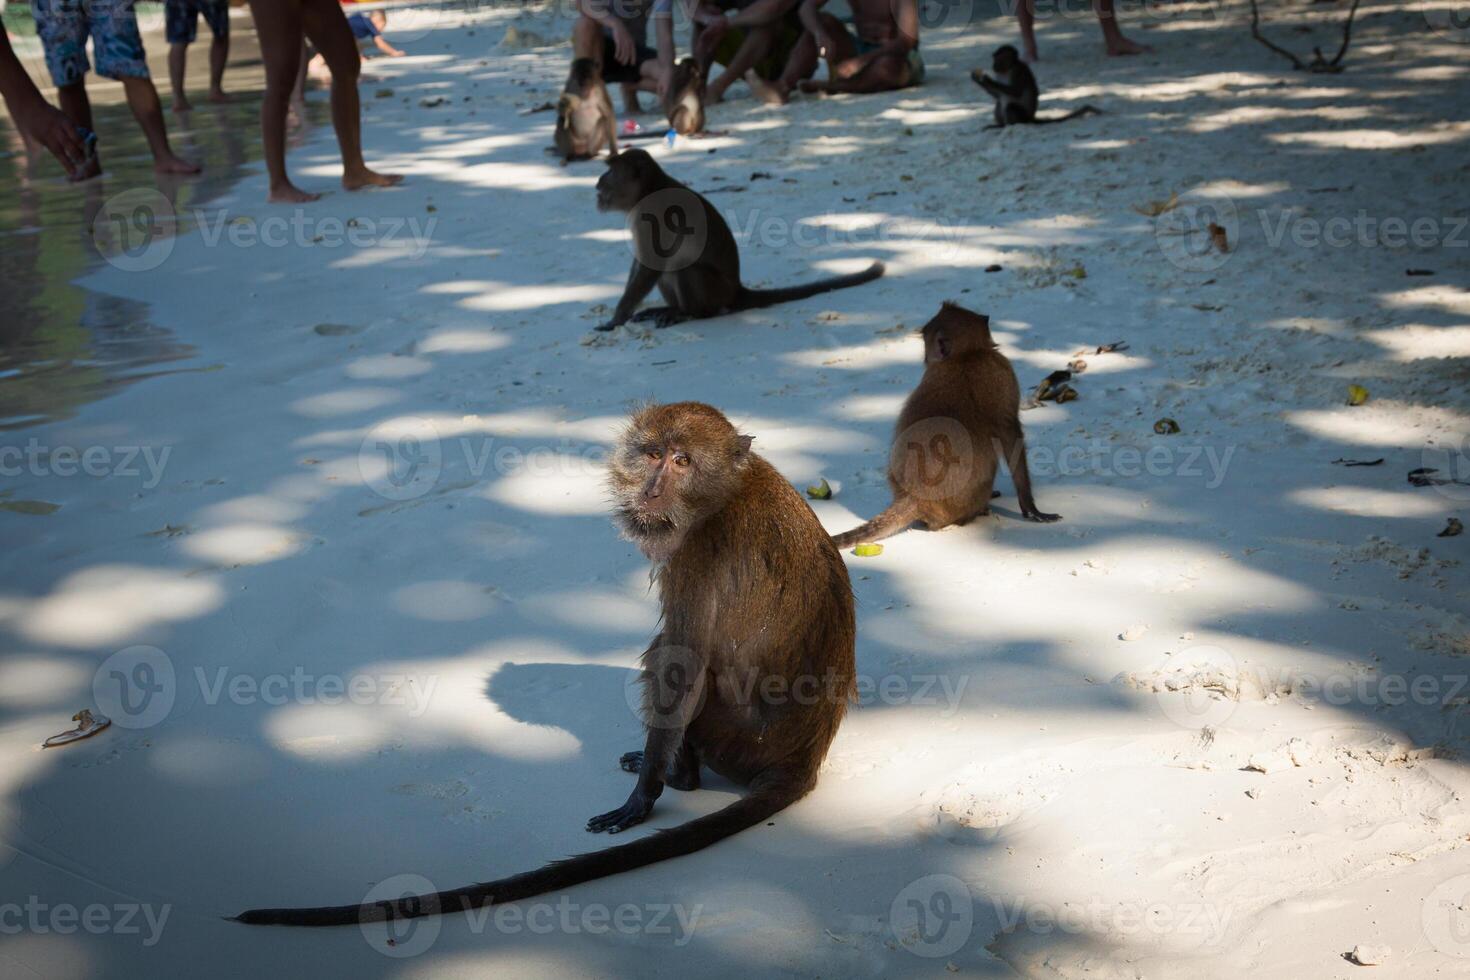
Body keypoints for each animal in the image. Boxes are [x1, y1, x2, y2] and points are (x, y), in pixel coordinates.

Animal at [235, 399, 858, 928]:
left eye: (683, 461)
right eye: (653, 455)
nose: (653, 487)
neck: (725, 492)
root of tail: (803, 758)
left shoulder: (697, 554)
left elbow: (682, 667)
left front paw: (644, 798)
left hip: (730, 737)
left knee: (666, 656)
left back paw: (676, 774)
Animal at [588, 149, 882, 332]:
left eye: (610, 172)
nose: (597, 182)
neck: (649, 189)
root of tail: (737, 289)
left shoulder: (652, 214)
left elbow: (651, 265)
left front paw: (616, 319)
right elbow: (643, 264)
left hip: (716, 291)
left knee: (686, 268)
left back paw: (687, 313)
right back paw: (669, 308)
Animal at [834, 302, 1064, 549]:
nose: (926, 357)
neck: (966, 355)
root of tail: (912, 497)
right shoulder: (1002, 374)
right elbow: (1011, 437)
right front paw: (1030, 506)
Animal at [970, 44, 1099, 129]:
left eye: (1000, 59)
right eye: (994, 58)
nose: (994, 65)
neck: (1008, 68)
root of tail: (1031, 118)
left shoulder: (1019, 71)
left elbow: (1016, 91)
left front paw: (986, 78)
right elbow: (997, 96)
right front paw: (977, 79)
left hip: (1024, 117)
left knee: (1011, 107)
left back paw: (1011, 126)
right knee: (999, 104)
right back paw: (1000, 125)